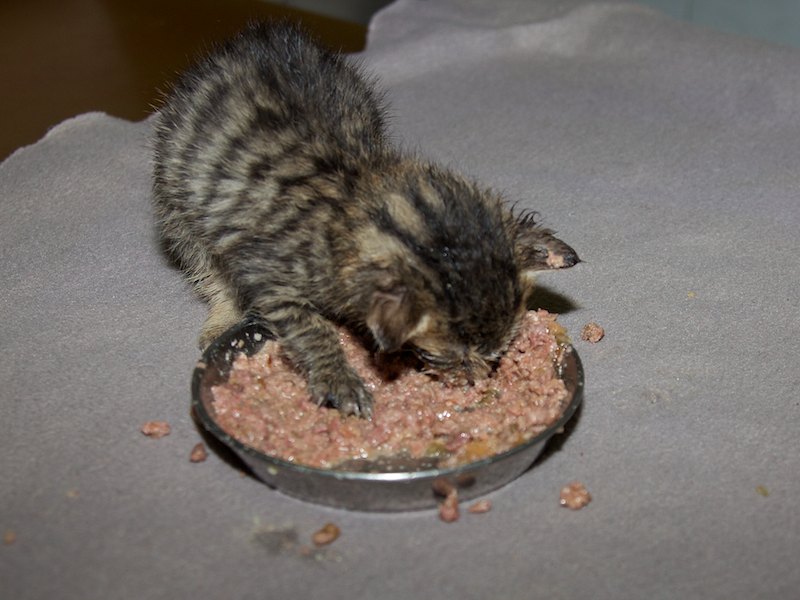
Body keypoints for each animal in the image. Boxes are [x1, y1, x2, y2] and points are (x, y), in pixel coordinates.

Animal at [152, 22, 579, 418]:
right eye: (451, 354)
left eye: (497, 351)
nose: (474, 381)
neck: (355, 196)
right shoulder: (269, 274)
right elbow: (310, 327)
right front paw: (338, 377)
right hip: (175, 201)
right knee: (205, 263)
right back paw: (222, 317)